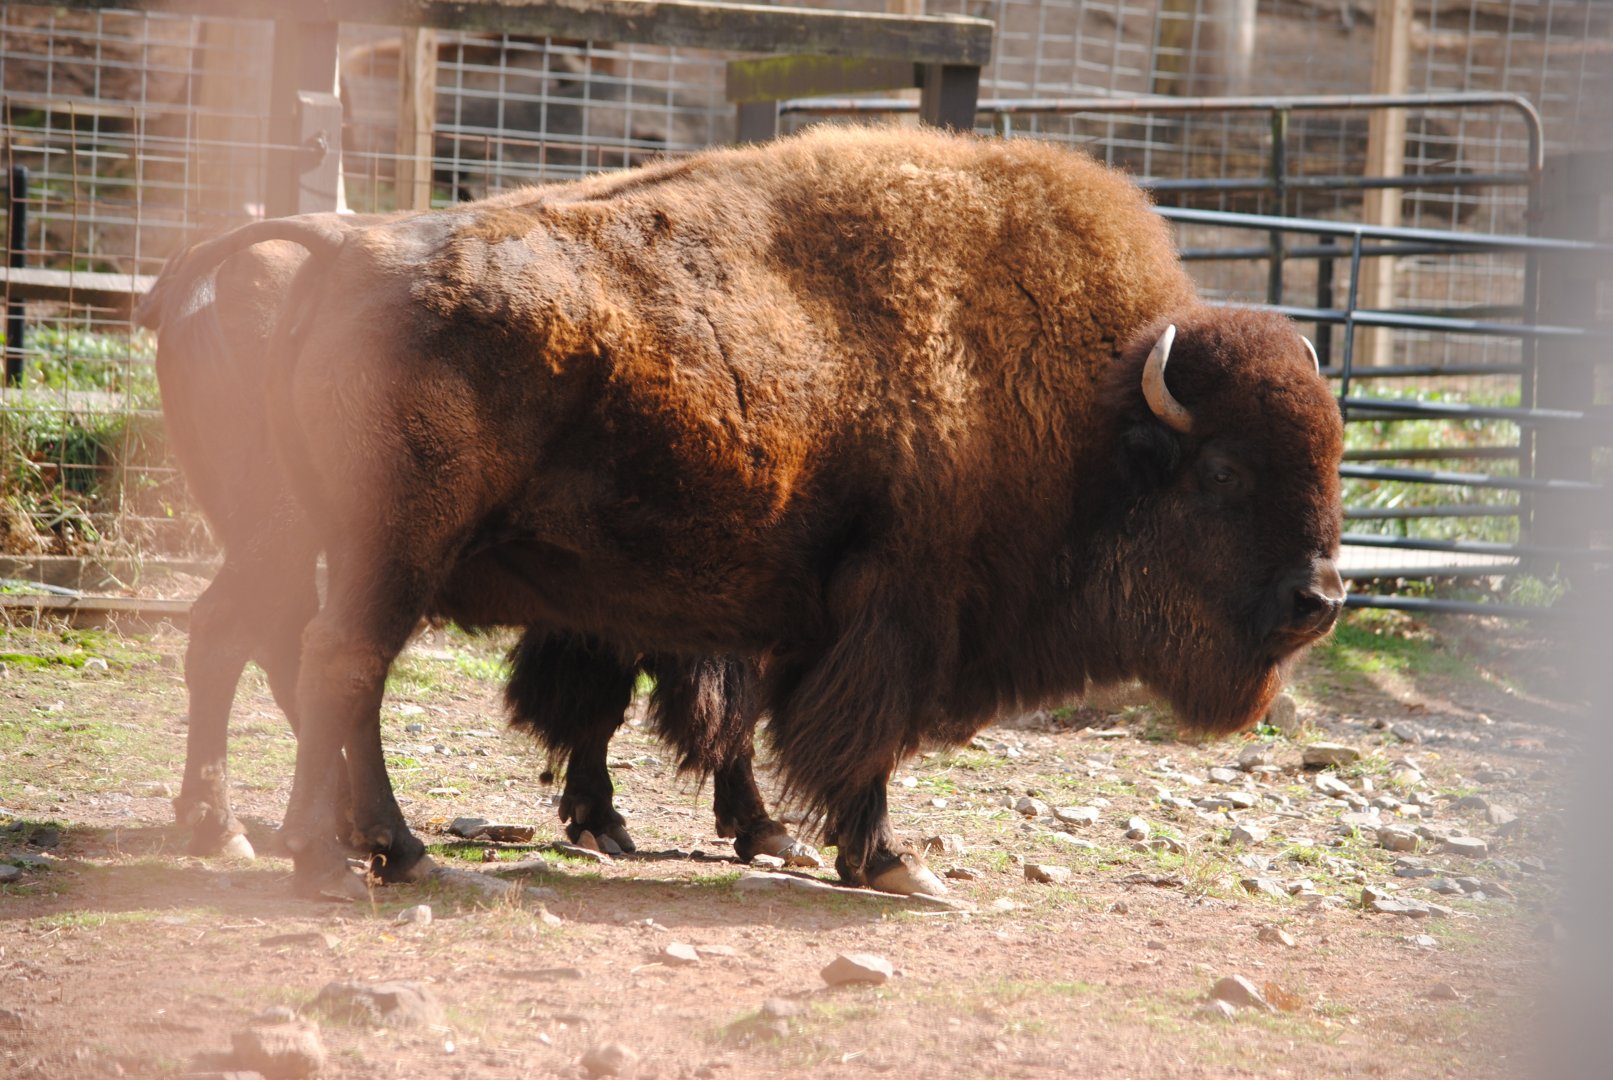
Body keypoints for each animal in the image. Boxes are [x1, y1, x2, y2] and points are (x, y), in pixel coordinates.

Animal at [151, 125, 1344, 898]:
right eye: (1222, 473)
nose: (1321, 600)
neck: (1091, 406)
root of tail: (344, 254)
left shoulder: (769, 607)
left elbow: (717, 719)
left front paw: (768, 838)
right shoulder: (891, 611)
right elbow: (845, 737)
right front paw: (887, 864)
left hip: (306, 543)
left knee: (255, 645)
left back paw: (295, 839)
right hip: (384, 553)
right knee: (334, 663)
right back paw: (347, 855)